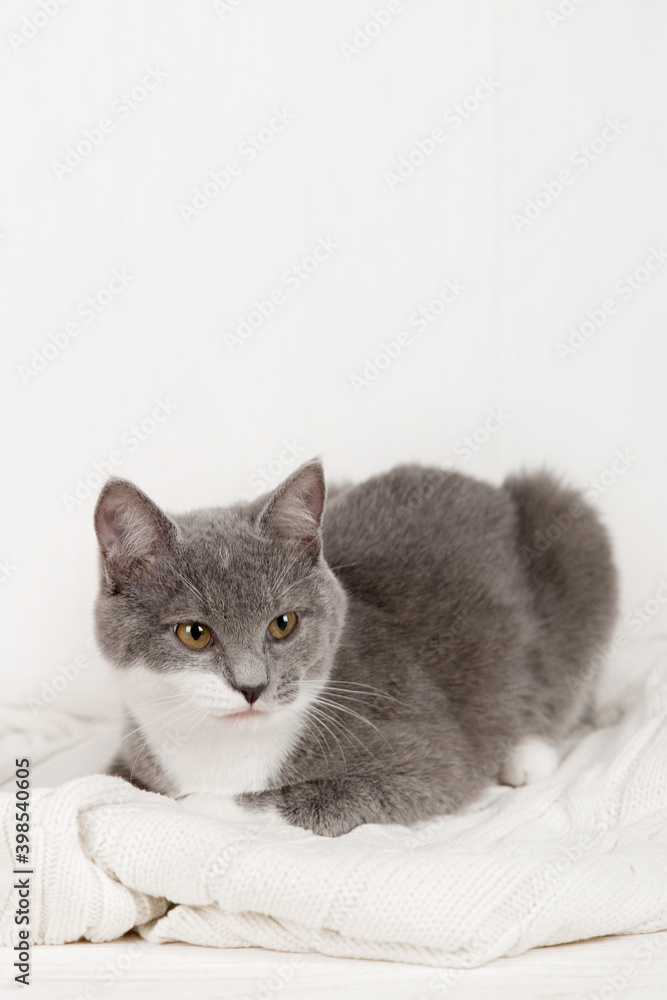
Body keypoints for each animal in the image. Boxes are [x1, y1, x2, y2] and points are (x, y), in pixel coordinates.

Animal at [94, 460, 616, 836]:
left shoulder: (431, 760)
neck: (223, 747)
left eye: (283, 624)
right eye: (194, 633)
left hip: (572, 536)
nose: (252, 686)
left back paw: (527, 751)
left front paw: (198, 803)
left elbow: (304, 799)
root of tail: (492, 486)